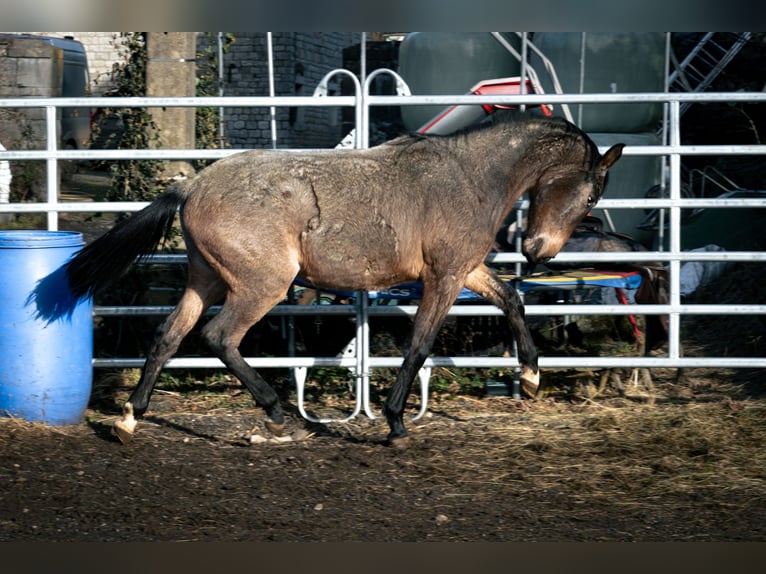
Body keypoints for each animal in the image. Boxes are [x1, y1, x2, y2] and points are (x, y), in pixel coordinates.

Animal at [61, 115, 624, 450]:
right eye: (592, 196)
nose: (538, 251)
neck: (471, 177)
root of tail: (193, 184)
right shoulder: (443, 276)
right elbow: (419, 347)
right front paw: (395, 424)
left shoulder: (465, 269)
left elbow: (510, 299)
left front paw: (530, 378)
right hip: (262, 284)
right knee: (219, 338)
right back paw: (274, 413)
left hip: (206, 280)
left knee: (167, 336)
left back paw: (129, 420)